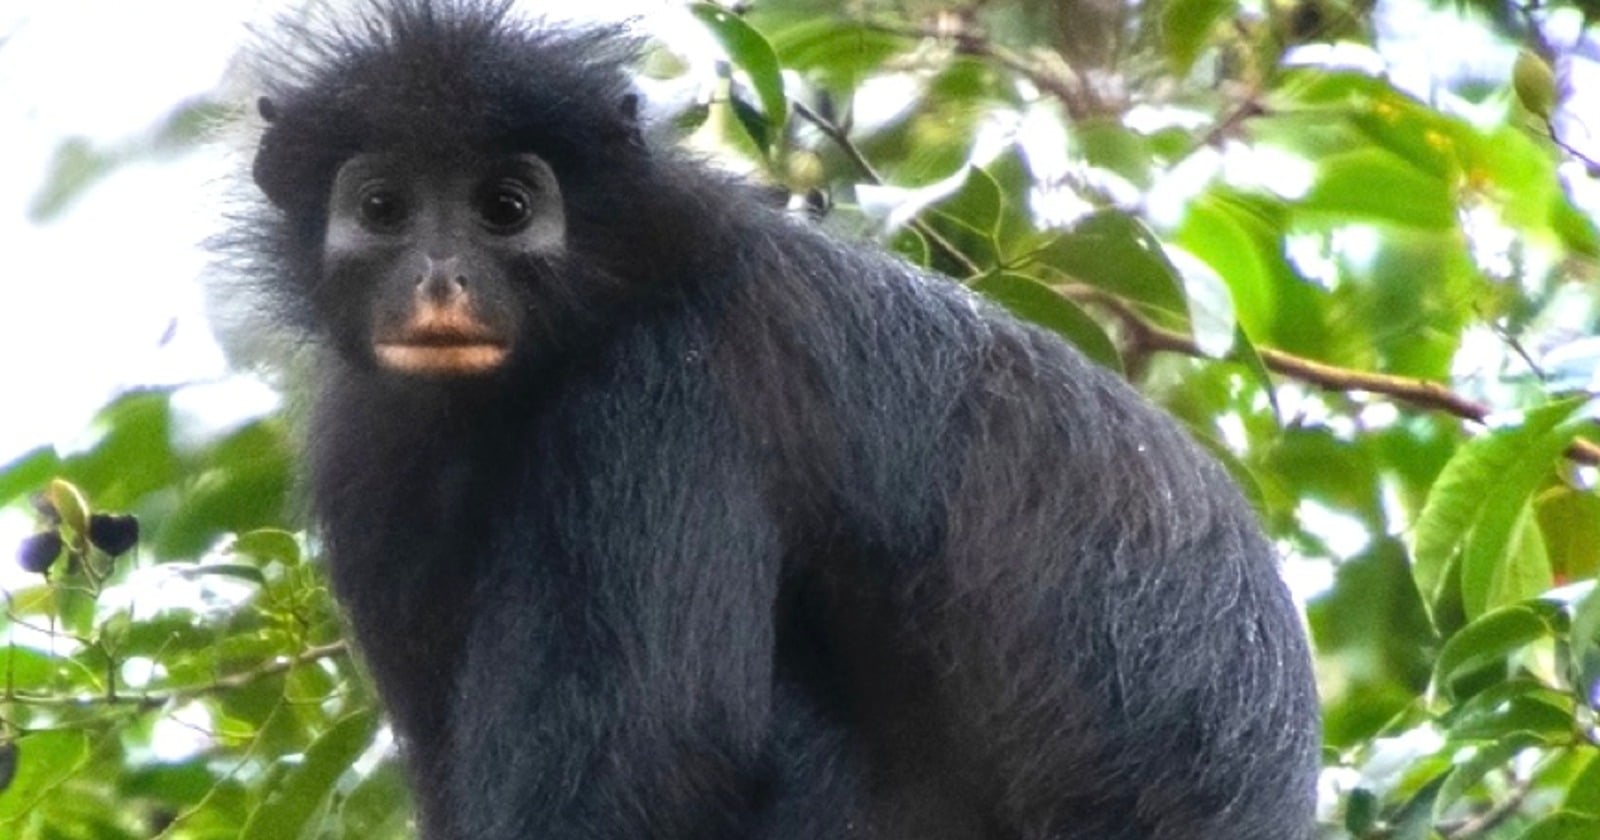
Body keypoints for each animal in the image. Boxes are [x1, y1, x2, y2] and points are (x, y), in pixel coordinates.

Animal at [230, 1, 1320, 837]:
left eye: (504, 207)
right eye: (384, 207)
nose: (440, 279)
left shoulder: (667, 391)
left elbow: (657, 753)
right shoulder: (370, 449)